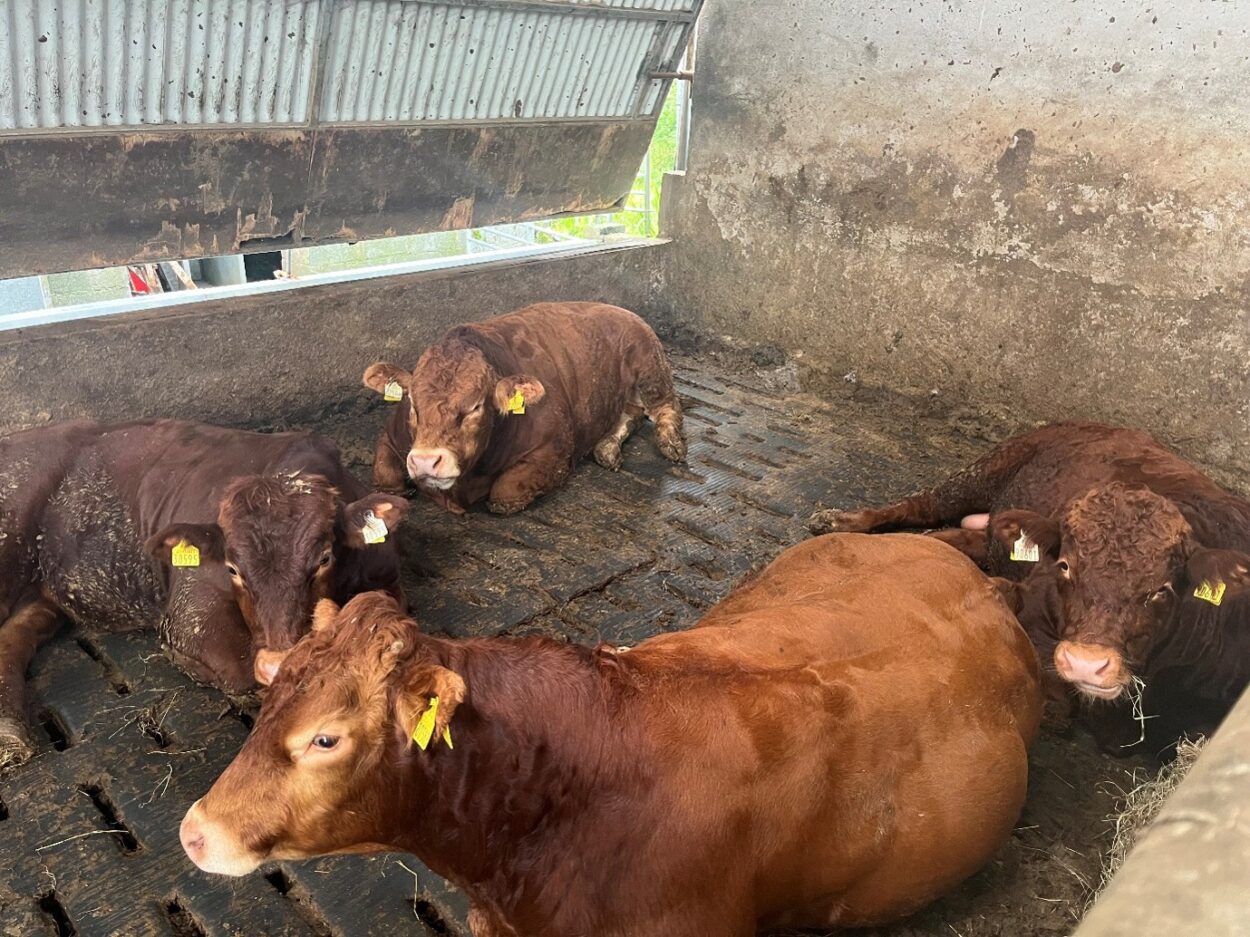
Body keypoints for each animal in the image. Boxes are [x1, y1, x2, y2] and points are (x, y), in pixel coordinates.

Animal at [0, 419, 408, 767]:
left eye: (324, 557)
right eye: (232, 569)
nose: (278, 658)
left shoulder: (387, 579)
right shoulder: (190, 613)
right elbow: (241, 672)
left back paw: (10, 734)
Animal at [362, 301, 686, 514]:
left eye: (475, 407)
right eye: (413, 405)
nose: (426, 461)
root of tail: (622, 310)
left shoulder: (555, 450)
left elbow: (505, 492)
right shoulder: (389, 438)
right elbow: (384, 474)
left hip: (650, 365)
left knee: (665, 405)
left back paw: (671, 443)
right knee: (632, 413)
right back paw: (607, 447)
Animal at [809, 422, 1250, 752]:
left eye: (1162, 589)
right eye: (1066, 566)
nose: (1087, 662)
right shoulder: (1034, 604)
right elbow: (1058, 701)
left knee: (956, 534)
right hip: (989, 467)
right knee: (919, 505)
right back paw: (837, 521)